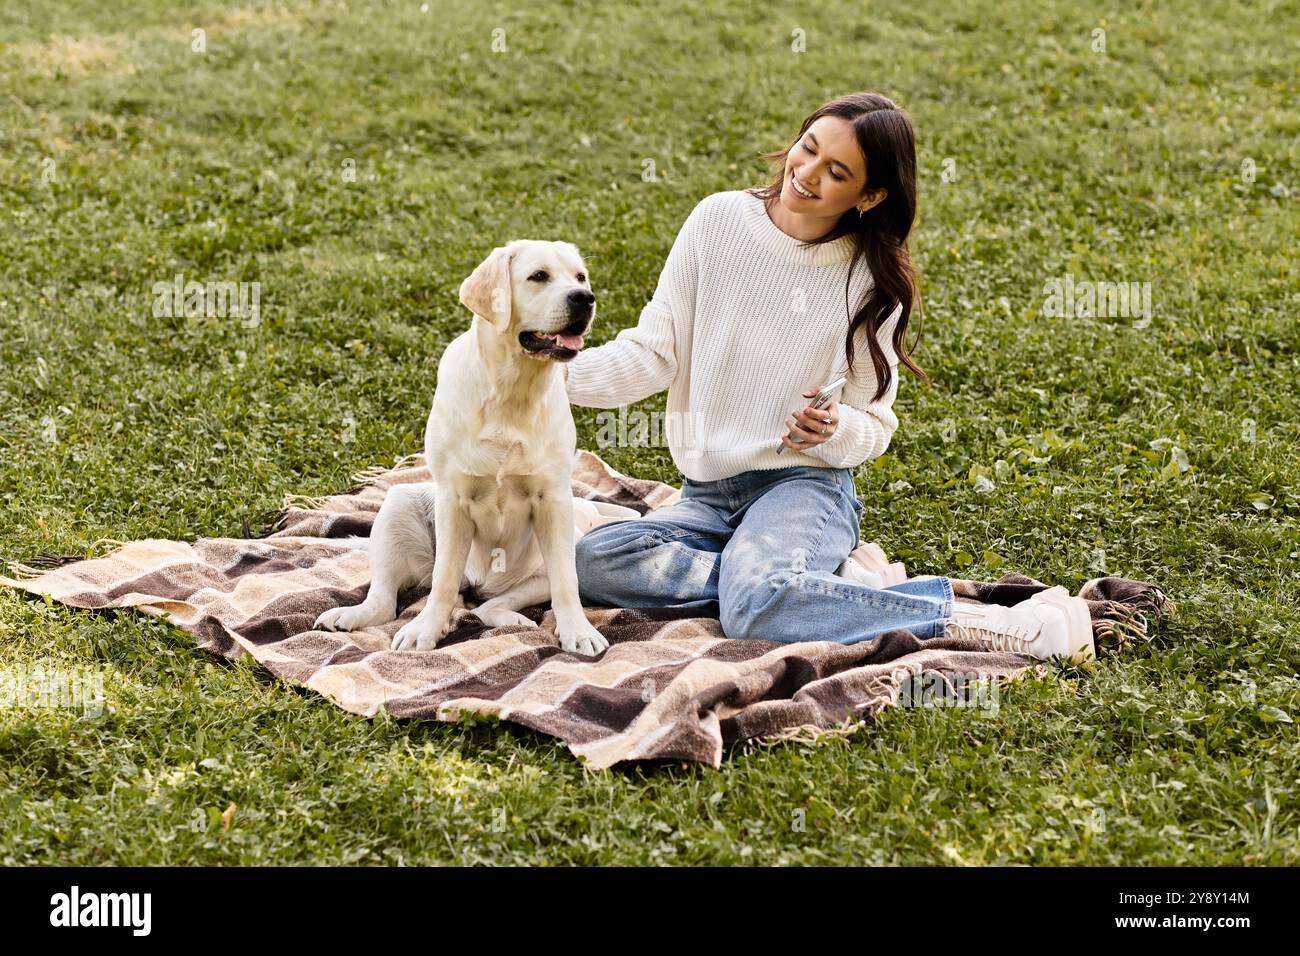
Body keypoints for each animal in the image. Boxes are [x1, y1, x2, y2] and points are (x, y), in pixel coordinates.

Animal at [319, 240, 613, 658]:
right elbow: (442, 580)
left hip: (554, 555)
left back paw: (512, 618)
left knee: (491, 605)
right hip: (398, 503)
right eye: (538, 276)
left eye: (580, 277)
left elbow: (565, 583)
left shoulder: (555, 500)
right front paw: (426, 630)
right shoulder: (452, 499)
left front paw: (578, 631)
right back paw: (352, 615)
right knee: (387, 600)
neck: (513, 391)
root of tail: (478, 582)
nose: (584, 298)